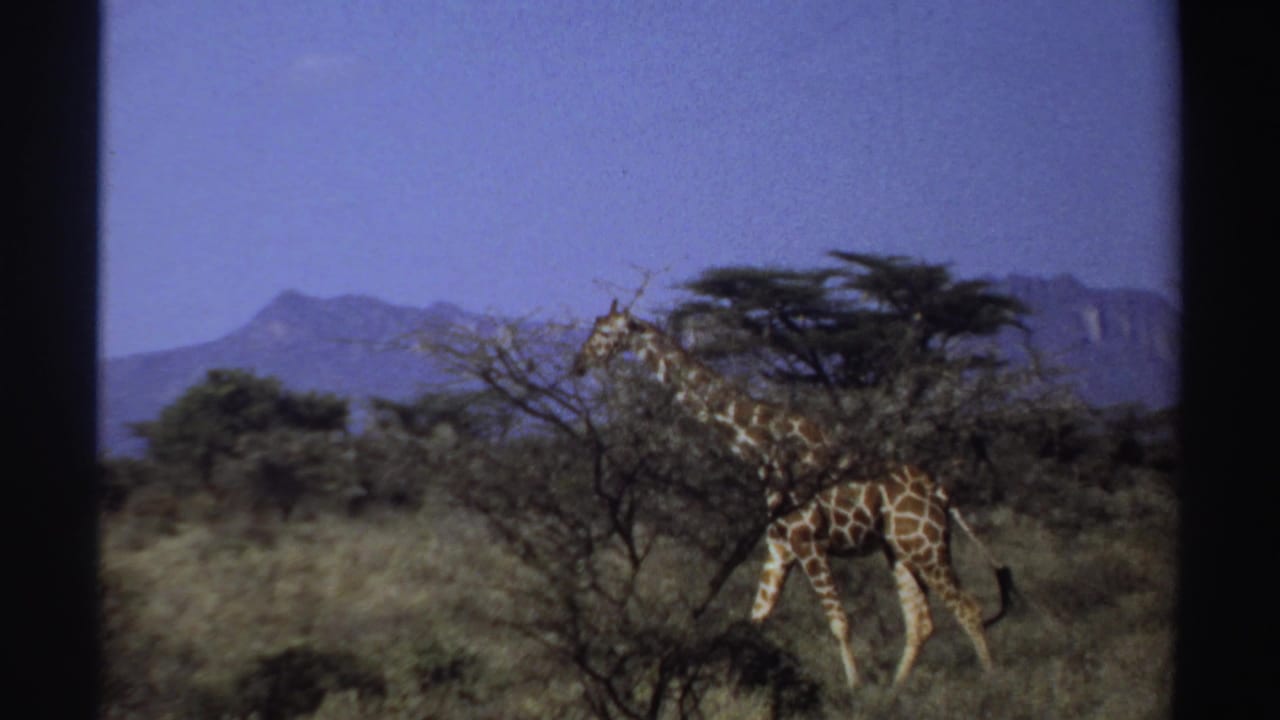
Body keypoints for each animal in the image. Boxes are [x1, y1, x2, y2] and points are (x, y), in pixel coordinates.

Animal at [572, 300, 1012, 688]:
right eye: (594, 328)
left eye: (606, 333)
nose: (579, 364)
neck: (764, 448)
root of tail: (939, 490)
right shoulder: (780, 544)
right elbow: (756, 619)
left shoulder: (807, 540)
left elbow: (839, 623)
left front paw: (854, 690)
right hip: (899, 549)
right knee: (921, 622)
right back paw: (894, 694)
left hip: (925, 545)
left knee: (968, 607)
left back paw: (991, 685)